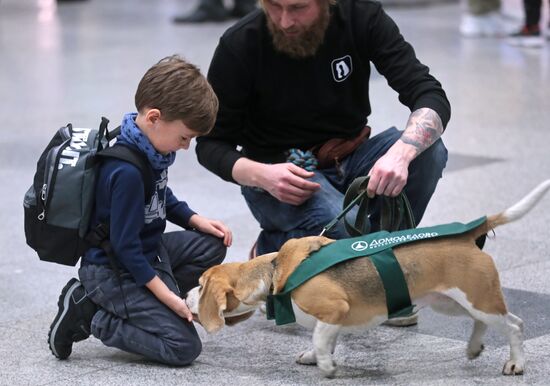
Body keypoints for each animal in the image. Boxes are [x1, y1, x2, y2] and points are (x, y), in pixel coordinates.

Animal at [187, 180, 550, 376]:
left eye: (201, 285)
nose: (186, 296)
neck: (275, 270)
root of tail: (467, 234)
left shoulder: (334, 308)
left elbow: (319, 337)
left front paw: (326, 366)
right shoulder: (334, 317)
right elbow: (324, 338)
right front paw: (316, 357)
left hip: (478, 297)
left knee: (514, 325)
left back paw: (516, 364)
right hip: (453, 301)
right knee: (485, 322)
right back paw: (474, 347)